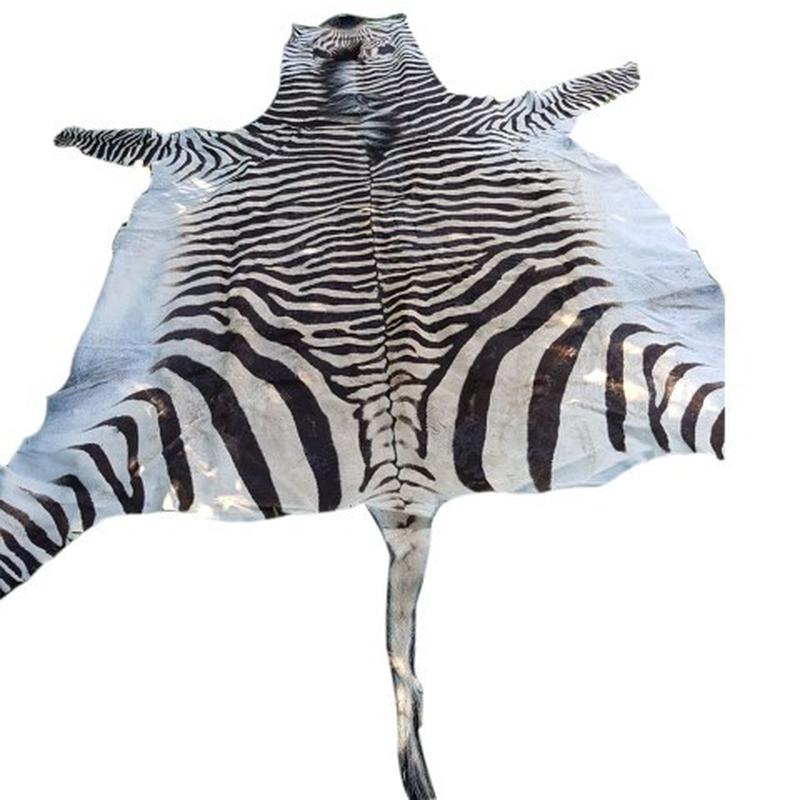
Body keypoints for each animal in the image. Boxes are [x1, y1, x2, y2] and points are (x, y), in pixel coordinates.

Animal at [0, 12, 724, 799]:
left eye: (390, 25)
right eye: (312, 29)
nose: (346, 17)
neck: (351, 100)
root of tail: (404, 493)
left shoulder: (505, 115)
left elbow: (573, 88)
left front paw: (627, 69)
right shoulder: (210, 146)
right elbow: (138, 135)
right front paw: (73, 133)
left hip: (654, 364)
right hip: (145, 414)